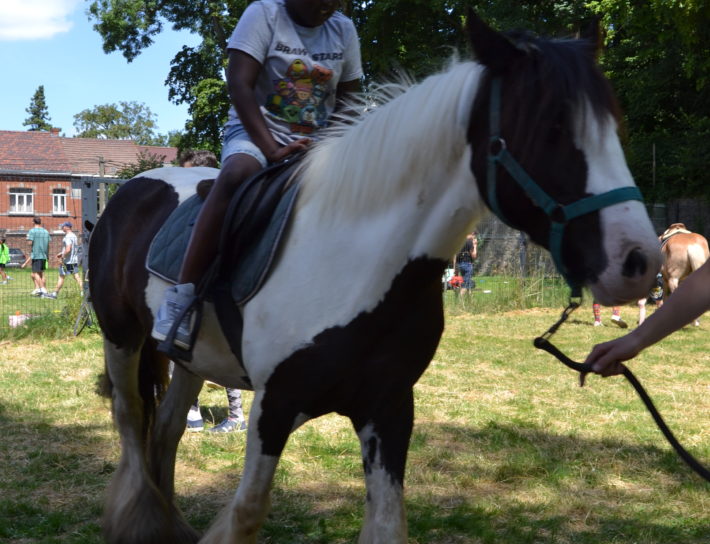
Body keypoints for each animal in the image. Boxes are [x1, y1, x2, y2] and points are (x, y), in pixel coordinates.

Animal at [90, 11, 663, 544]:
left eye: (614, 128)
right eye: (550, 131)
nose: (639, 262)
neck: (354, 257)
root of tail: (128, 191)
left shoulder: (388, 408)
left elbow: (387, 524)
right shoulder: (273, 406)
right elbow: (248, 511)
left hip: (191, 359)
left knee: (165, 432)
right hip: (122, 338)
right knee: (131, 420)